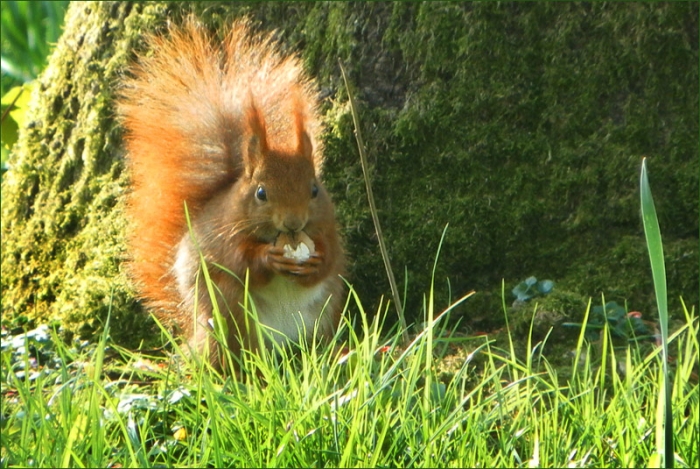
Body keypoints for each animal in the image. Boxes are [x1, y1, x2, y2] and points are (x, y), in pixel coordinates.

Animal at [117, 17, 345, 369]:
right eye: (261, 193)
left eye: (315, 189)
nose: (293, 223)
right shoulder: (225, 235)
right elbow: (240, 262)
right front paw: (268, 258)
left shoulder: (328, 227)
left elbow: (331, 256)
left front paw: (317, 260)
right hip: (227, 310)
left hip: (326, 309)